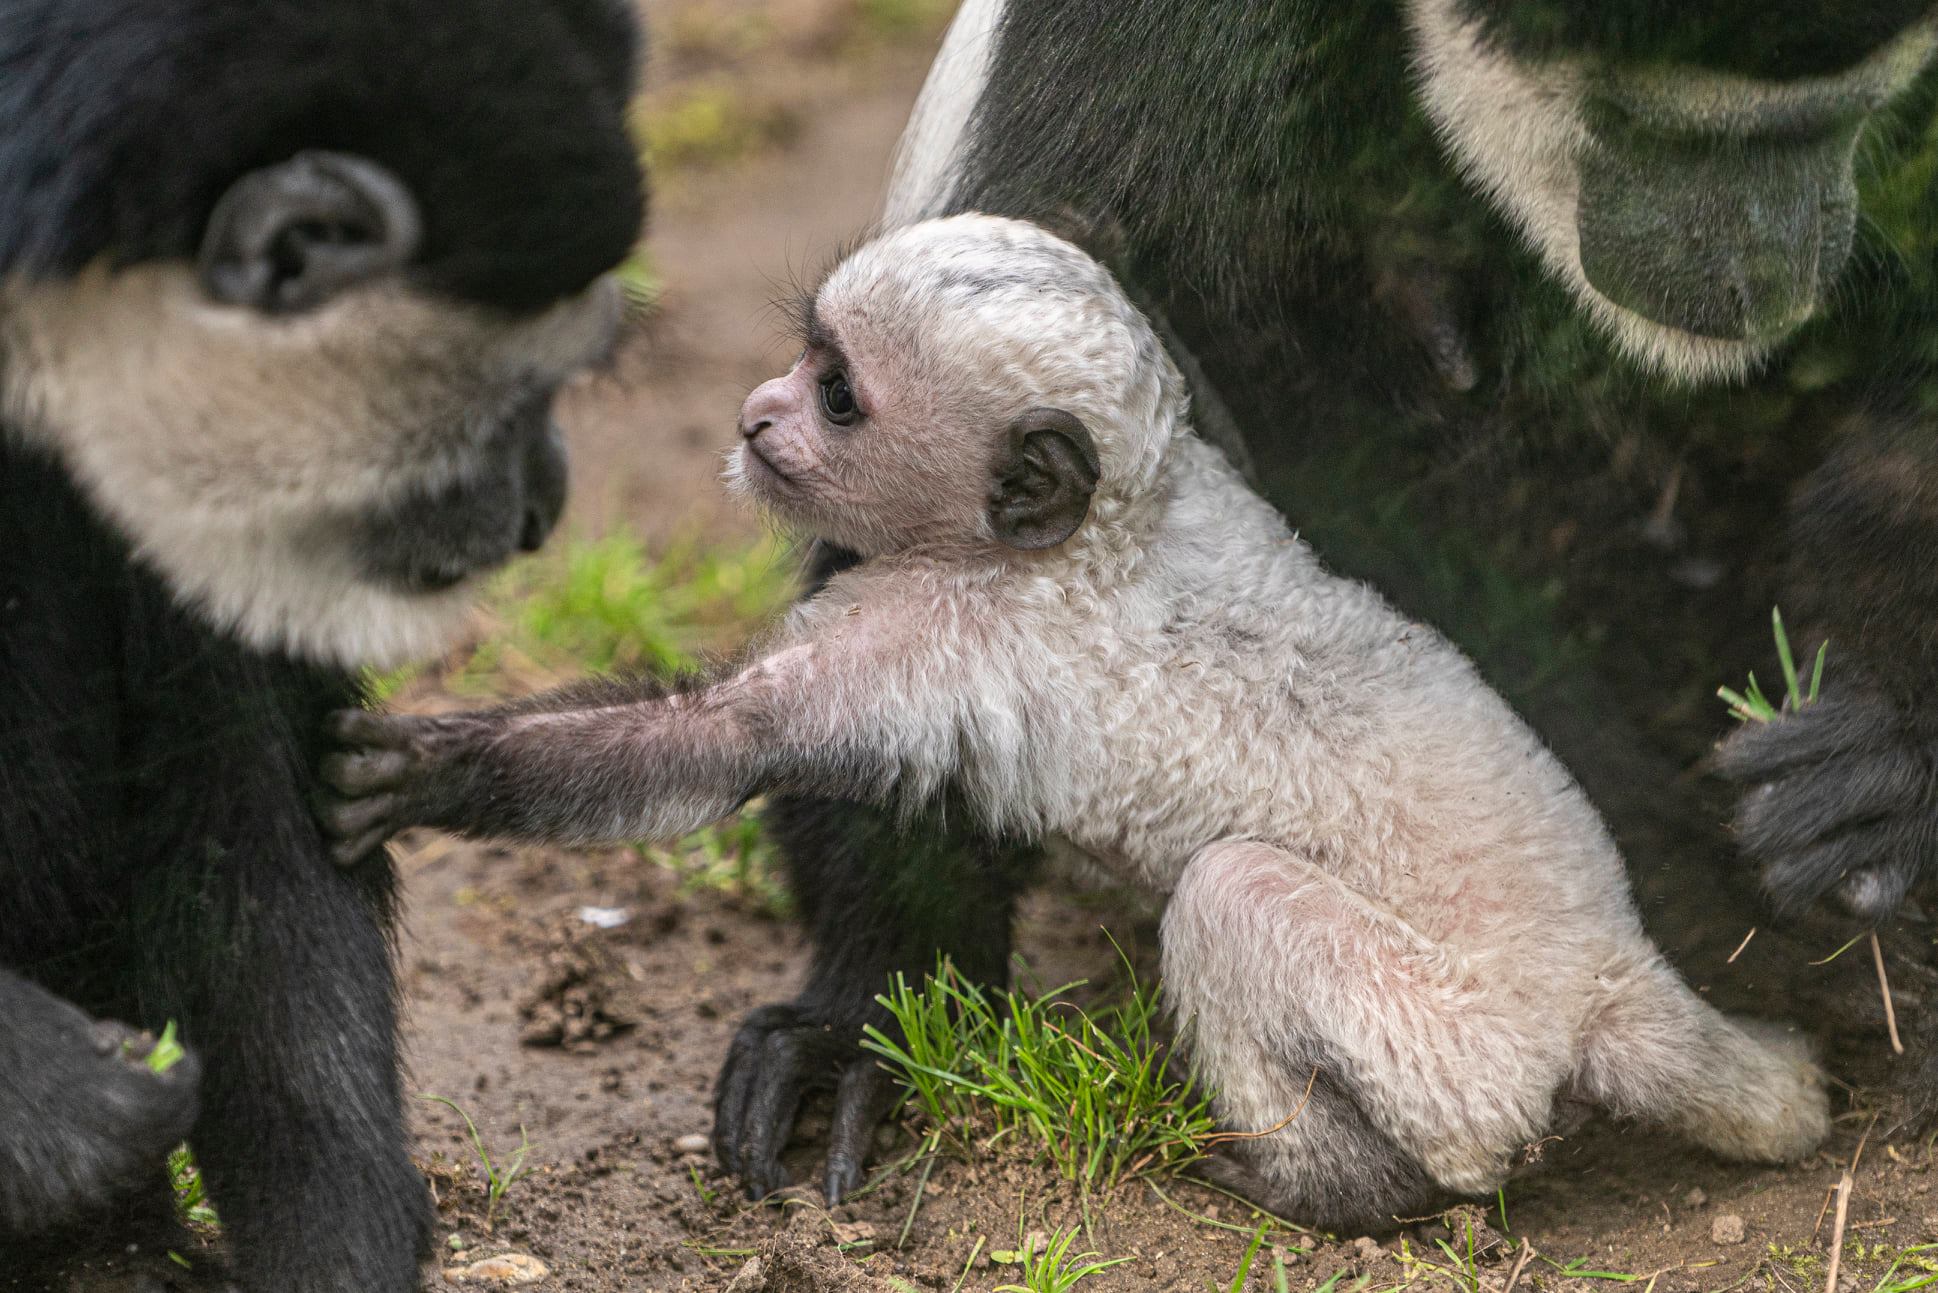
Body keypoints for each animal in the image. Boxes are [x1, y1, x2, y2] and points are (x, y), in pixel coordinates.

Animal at [321, 215, 1829, 1232]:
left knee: (1249, 918)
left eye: (837, 393)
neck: (1103, 534)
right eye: (802, 363)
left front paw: (421, 769)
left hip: (1462, 1046)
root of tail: (1609, 977)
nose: (753, 417)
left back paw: (1328, 1190)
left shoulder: (934, 639)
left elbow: (707, 745)